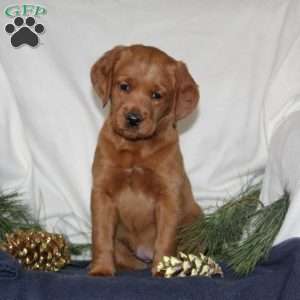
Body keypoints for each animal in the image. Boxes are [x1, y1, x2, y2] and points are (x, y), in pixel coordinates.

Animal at [88, 44, 202, 276]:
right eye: (124, 86)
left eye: (157, 95)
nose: (133, 118)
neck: (136, 148)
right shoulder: (102, 193)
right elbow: (101, 237)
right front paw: (102, 269)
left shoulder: (168, 196)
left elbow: (165, 239)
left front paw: (162, 270)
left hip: (195, 219)